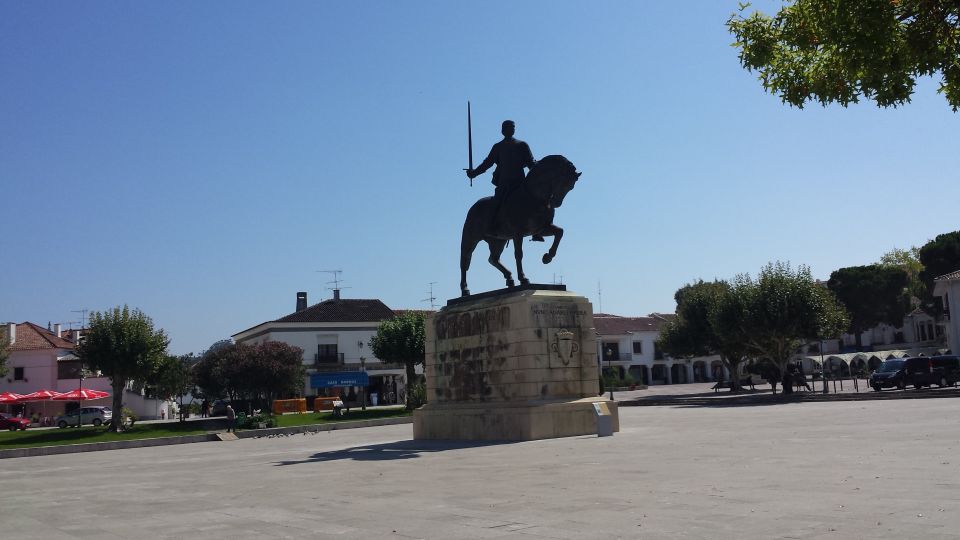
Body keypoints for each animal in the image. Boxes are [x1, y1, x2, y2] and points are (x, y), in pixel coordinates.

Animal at [462, 154, 580, 298]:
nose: (556, 203)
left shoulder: (541, 228)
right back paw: (465, 290)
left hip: (498, 240)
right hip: (470, 238)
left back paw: (509, 278)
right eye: (563, 182)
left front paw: (547, 257)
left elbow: (560, 232)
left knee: (493, 259)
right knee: (465, 261)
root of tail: (474, 207)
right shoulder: (518, 233)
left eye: (571, 186)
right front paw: (523, 278)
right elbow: (519, 254)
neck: (535, 197)